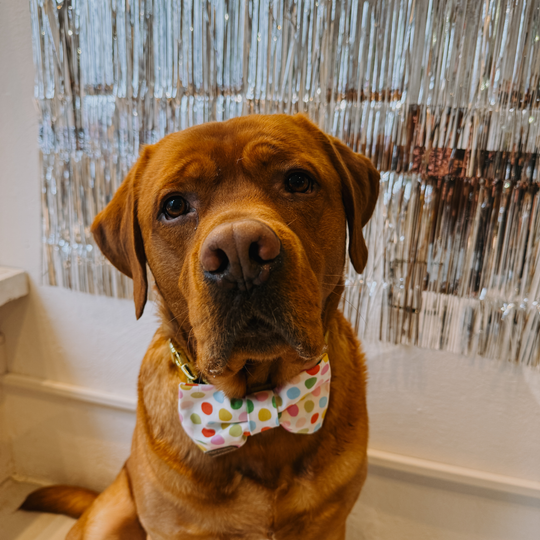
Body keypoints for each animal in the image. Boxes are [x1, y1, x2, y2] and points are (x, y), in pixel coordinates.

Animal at [22, 114, 379, 539]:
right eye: (174, 206)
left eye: (297, 181)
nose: (240, 252)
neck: (257, 395)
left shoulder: (329, 524)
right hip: (107, 520)